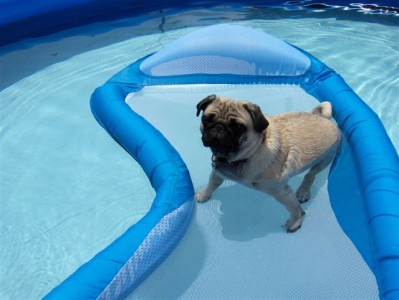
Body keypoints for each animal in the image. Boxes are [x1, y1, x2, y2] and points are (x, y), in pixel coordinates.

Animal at [195, 94, 342, 232]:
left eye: (238, 127)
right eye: (206, 119)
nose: (219, 127)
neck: (247, 156)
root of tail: (324, 118)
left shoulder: (281, 192)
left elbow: (294, 208)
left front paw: (295, 222)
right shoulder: (217, 172)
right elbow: (211, 185)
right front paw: (203, 195)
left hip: (326, 159)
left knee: (310, 175)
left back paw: (303, 192)